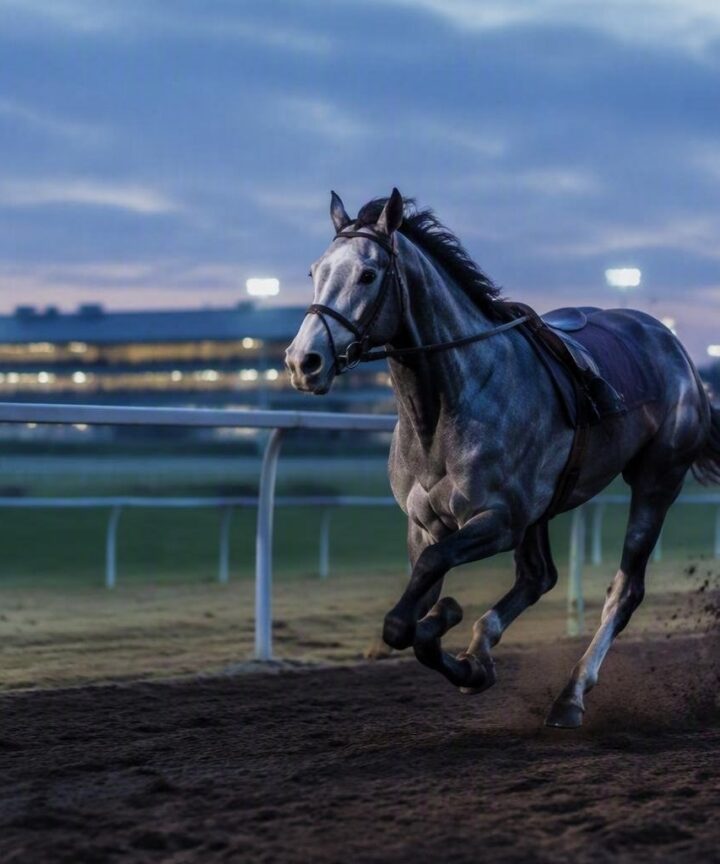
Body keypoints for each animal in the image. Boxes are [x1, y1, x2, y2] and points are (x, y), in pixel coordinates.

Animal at [285, 188, 720, 728]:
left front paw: (451, 625)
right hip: (543, 509)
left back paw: (571, 694)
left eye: (367, 274)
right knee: (538, 576)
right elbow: (413, 614)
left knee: (625, 590)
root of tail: (675, 348)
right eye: (314, 271)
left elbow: (411, 608)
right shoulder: (425, 524)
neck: (445, 406)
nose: (303, 362)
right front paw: (468, 658)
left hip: (657, 479)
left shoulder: (499, 520)